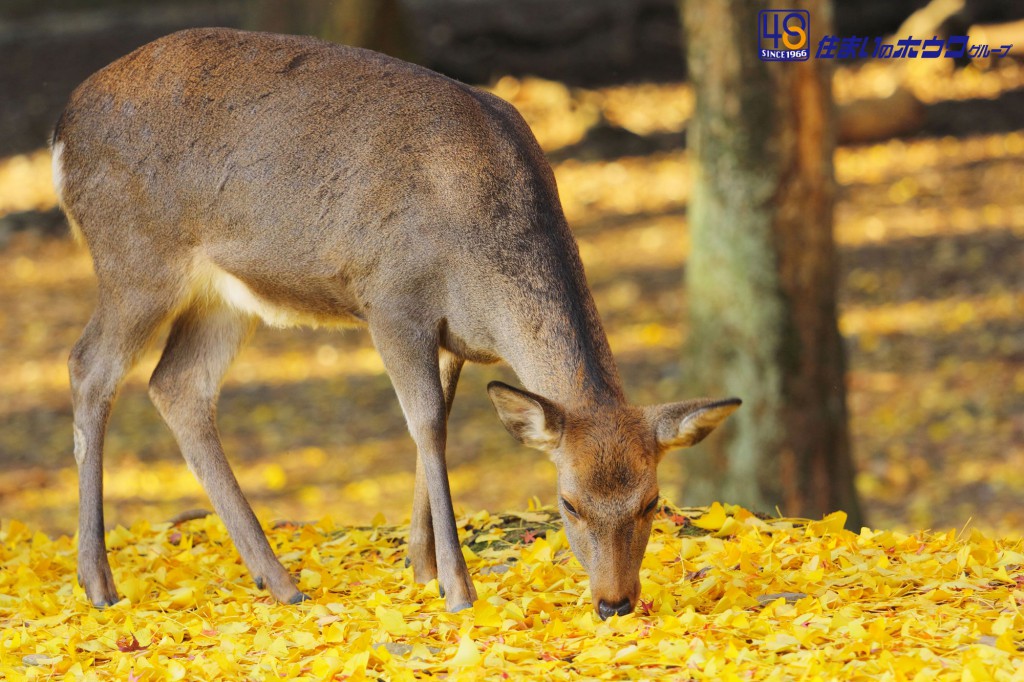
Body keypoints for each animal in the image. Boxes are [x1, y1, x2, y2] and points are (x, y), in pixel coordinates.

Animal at [51, 29, 741, 618]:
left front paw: (421, 568)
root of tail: (63, 128)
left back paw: (280, 581)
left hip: (225, 295)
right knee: (89, 366)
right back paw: (98, 582)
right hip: (135, 260)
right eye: (567, 504)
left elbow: (435, 424)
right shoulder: (390, 299)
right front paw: (457, 588)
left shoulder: (451, 335)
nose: (615, 602)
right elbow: (427, 424)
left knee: (177, 385)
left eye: (651, 501)